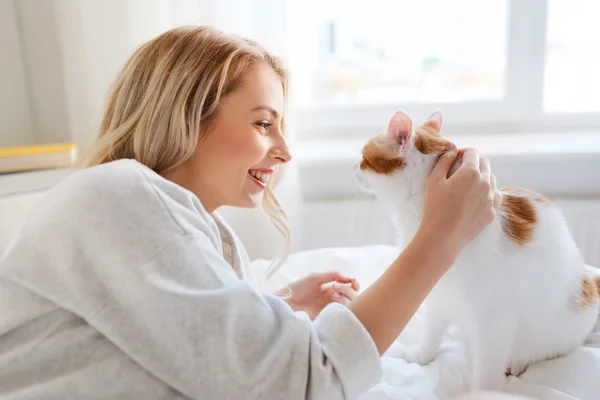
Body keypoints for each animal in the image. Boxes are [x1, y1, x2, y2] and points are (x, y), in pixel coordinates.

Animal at [356, 111, 600, 392]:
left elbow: (486, 374)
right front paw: (422, 355)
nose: (353, 168)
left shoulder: (493, 321)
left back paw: (519, 360)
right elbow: (432, 333)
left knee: (549, 348)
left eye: (363, 158)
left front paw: (484, 392)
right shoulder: (438, 297)